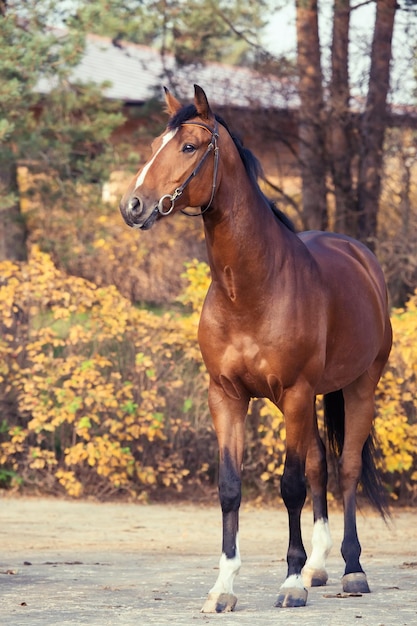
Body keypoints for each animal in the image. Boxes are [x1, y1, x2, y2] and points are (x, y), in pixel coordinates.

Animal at [118, 83, 392, 608]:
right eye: (155, 146)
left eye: (189, 147)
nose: (133, 206)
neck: (251, 288)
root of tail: (360, 255)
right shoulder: (226, 396)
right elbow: (230, 487)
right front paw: (224, 587)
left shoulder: (296, 392)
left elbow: (290, 486)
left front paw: (290, 583)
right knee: (320, 466)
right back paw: (318, 567)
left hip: (357, 388)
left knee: (345, 469)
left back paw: (351, 570)